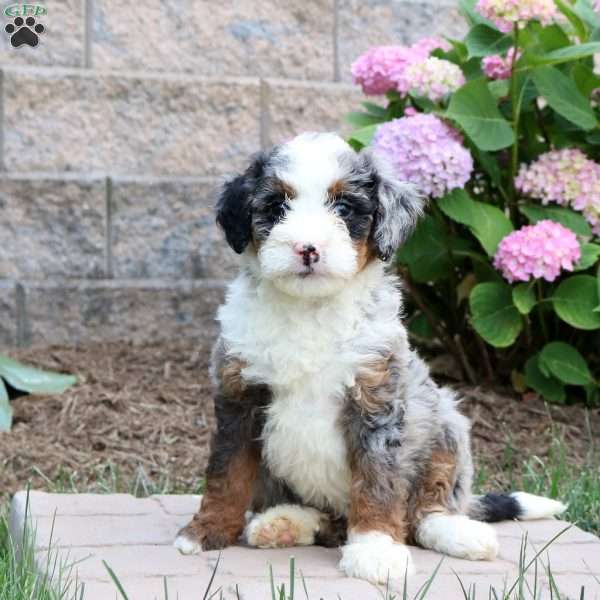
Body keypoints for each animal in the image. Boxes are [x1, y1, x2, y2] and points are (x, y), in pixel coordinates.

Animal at [175, 132, 568, 584]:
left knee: (427, 508)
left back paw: (459, 533)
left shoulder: (377, 397)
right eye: (276, 208)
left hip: (445, 424)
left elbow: (378, 480)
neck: (310, 311)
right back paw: (284, 522)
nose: (307, 249)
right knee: (326, 519)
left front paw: (376, 550)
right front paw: (206, 531)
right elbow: (227, 472)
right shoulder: (239, 395)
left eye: (344, 208)